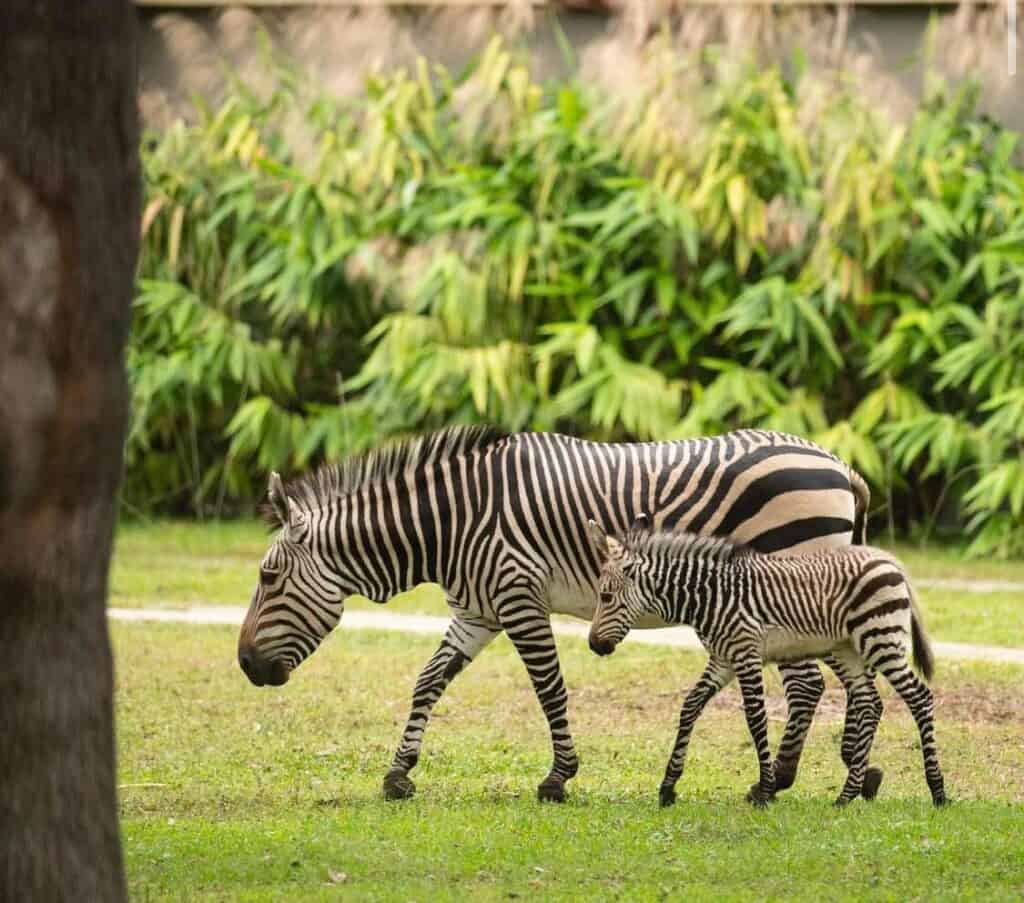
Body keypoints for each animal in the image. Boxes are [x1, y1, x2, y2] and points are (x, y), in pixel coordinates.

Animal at [237, 425, 876, 803]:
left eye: (268, 578)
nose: (245, 665)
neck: (450, 524)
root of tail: (838, 462)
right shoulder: (477, 612)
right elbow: (428, 682)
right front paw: (400, 772)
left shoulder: (518, 597)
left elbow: (549, 689)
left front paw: (558, 776)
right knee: (832, 682)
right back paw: (846, 772)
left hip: (792, 584)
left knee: (808, 685)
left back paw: (779, 780)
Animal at [586, 520, 947, 808]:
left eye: (605, 597)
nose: (593, 645)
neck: (709, 598)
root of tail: (886, 559)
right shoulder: (723, 659)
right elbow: (690, 706)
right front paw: (668, 787)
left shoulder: (745, 654)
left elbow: (755, 719)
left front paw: (764, 791)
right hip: (849, 649)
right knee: (870, 702)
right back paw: (846, 796)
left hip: (880, 639)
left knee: (919, 697)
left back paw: (937, 791)